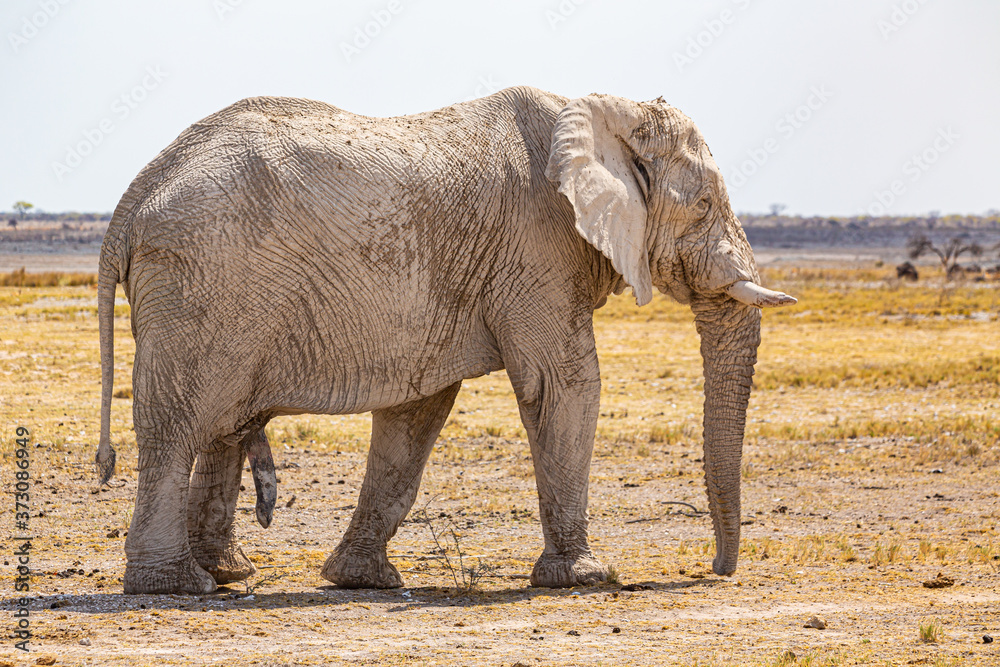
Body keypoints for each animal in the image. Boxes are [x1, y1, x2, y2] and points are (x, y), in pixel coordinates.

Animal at [94, 86, 795, 595]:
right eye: (703, 205)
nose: (717, 570)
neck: (595, 109)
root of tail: (133, 197)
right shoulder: (537, 246)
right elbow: (563, 385)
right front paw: (587, 579)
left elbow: (417, 411)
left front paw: (364, 581)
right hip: (199, 282)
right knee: (178, 426)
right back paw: (175, 586)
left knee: (223, 423)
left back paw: (228, 575)